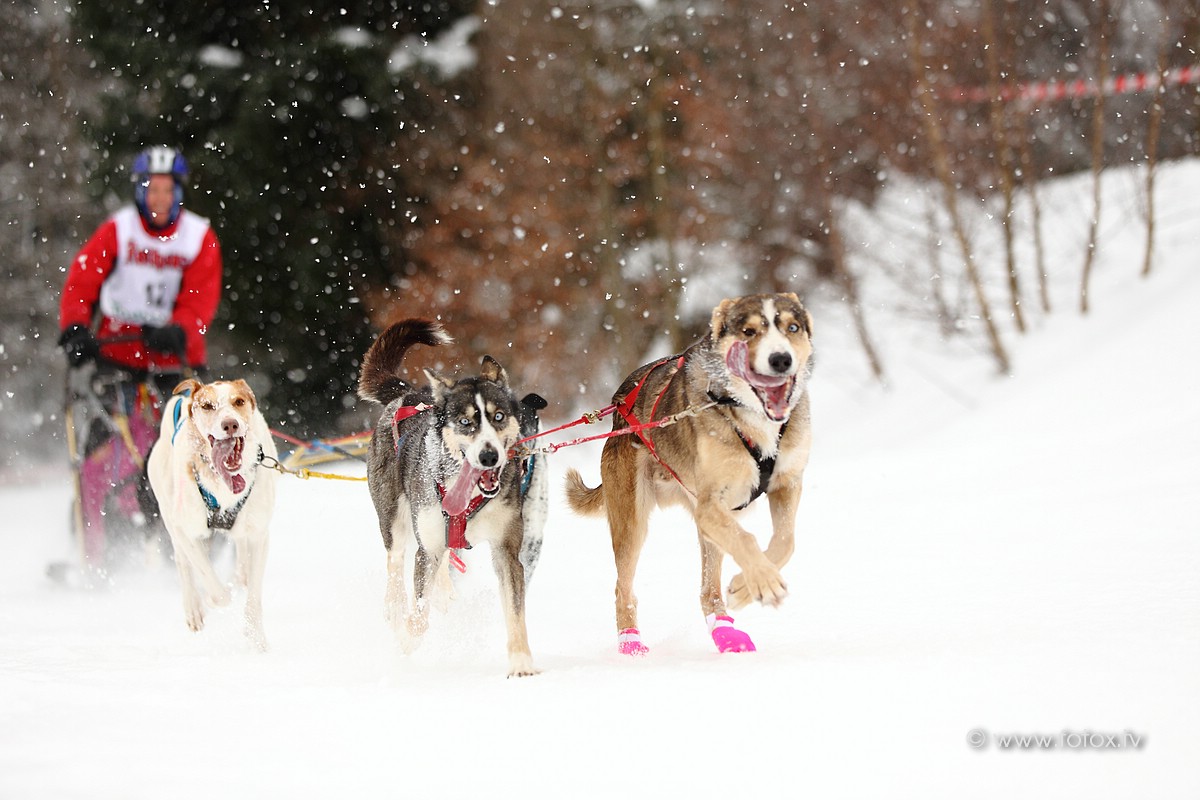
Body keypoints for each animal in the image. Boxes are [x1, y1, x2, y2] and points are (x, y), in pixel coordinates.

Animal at [146, 376, 277, 652]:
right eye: (207, 405)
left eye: (238, 401)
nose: (230, 424)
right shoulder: (184, 530)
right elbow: (209, 579)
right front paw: (214, 599)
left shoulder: (259, 534)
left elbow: (254, 597)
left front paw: (257, 639)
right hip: (169, 516)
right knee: (184, 562)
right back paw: (194, 607)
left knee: (240, 550)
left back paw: (240, 575)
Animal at [564, 293, 816, 657]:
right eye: (748, 331)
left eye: (792, 327)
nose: (780, 359)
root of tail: (617, 408)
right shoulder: (711, 505)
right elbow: (747, 539)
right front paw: (763, 581)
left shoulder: (787, 483)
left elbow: (785, 541)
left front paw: (746, 585)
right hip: (633, 521)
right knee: (622, 588)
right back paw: (631, 643)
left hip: (705, 525)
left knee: (708, 591)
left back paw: (726, 633)